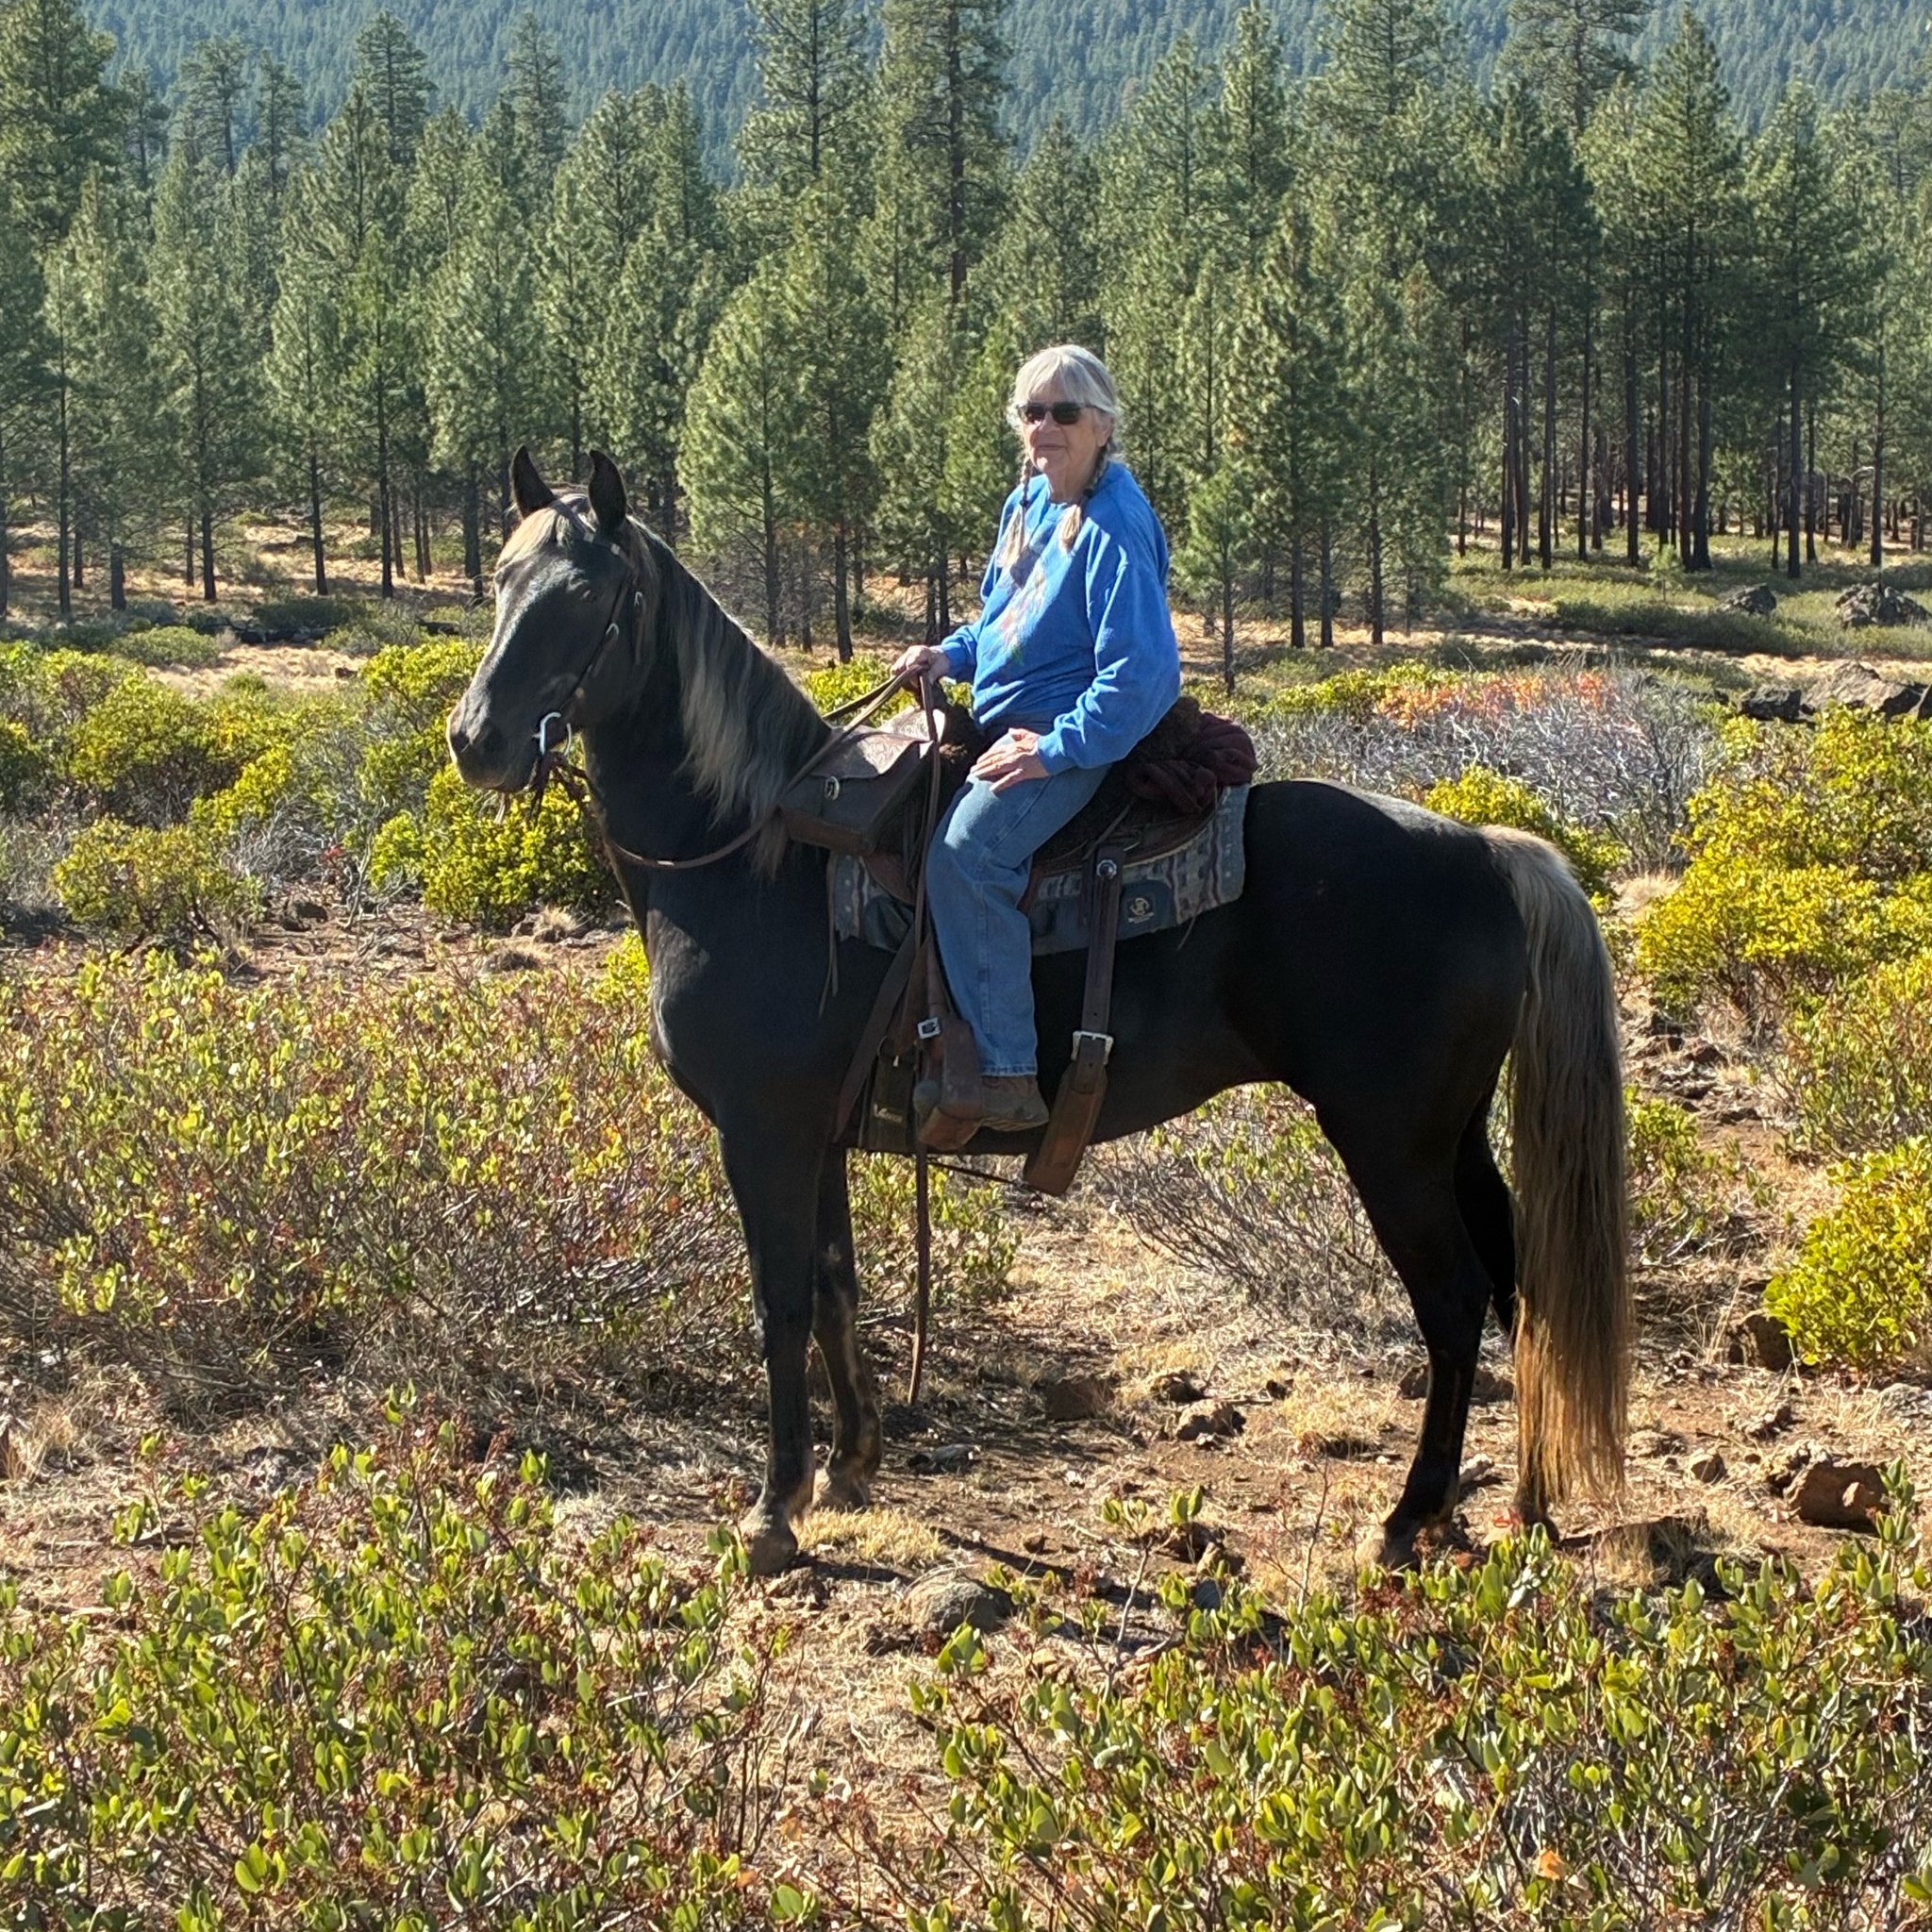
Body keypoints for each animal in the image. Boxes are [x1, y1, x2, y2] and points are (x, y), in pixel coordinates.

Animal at [447, 448, 1630, 1579]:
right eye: (499, 576)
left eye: (587, 595)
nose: (475, 739)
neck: (754, 851)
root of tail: (1489, 849)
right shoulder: (817, 1130)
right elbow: (833, 1285)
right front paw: (851, 1465)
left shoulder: (763, 1130)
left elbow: (779, 1300)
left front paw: (772, 1511)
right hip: (1450, 1135)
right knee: (1519, 1285)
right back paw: (1521, 1502)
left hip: (1387, 1139)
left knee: (1453, 1299)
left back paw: (1405, 1516)